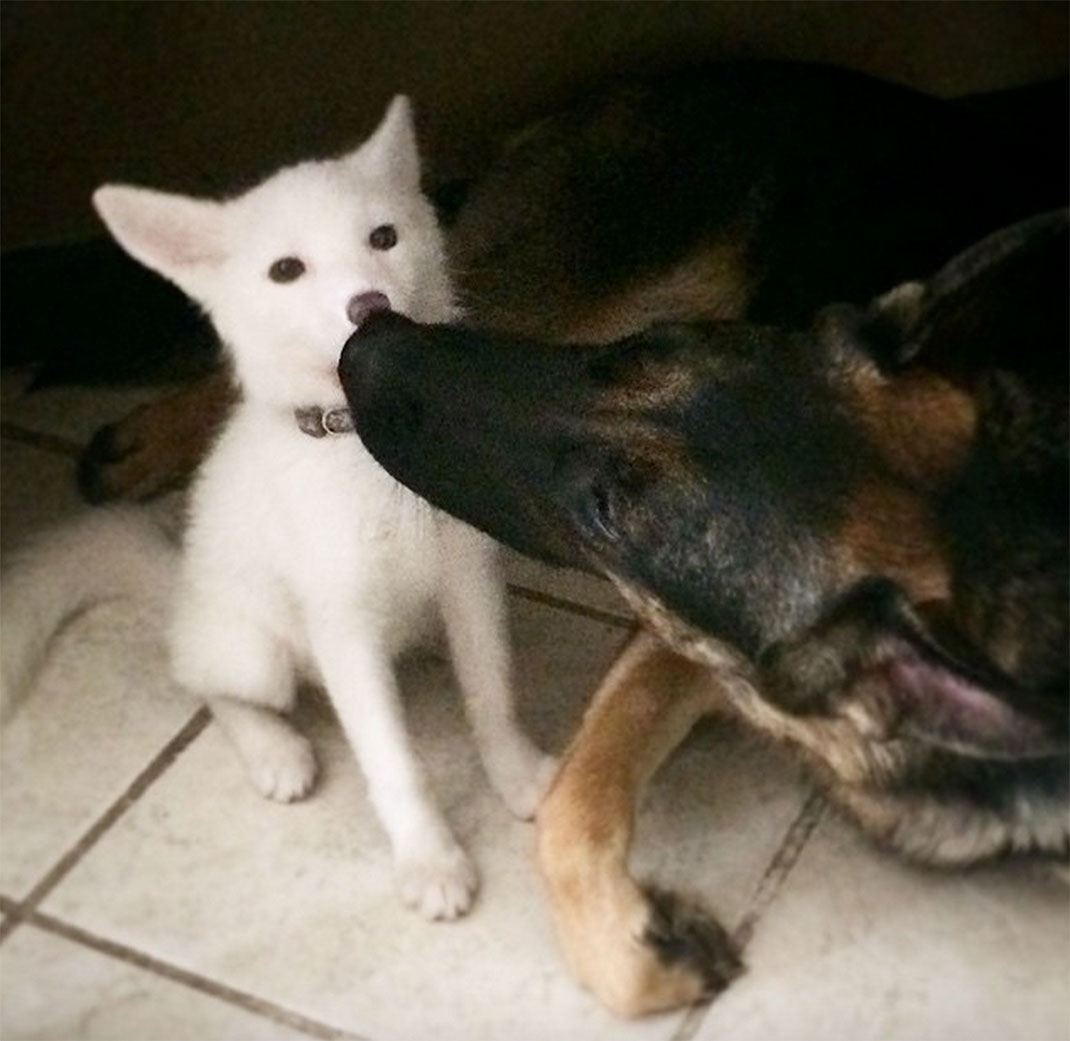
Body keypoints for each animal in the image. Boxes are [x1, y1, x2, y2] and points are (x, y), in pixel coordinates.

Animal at [0, 95, 554, 920]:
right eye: (286, 270)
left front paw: (518, 773)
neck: (368, 445)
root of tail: (182, 588)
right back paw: (273, 748)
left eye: (384, 237)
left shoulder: (471, 579)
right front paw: (429, 858)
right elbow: (392, 758)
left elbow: (491, 690)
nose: (370, 306)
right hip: (253, 650)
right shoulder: (341, 623)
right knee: (202, 680)